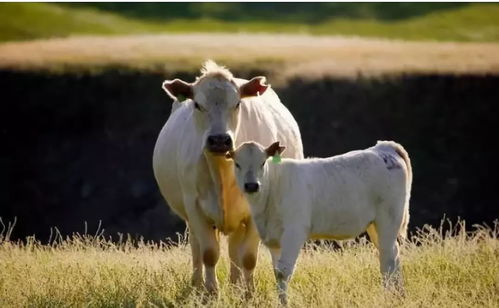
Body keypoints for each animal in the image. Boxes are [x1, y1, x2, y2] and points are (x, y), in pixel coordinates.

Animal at [152, 60, 302, 294]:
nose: (219, 140)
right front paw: (211, 292)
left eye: (237, 103)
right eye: (197, 104)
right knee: (198, 248)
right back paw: (197, 285)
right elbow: (209, 253)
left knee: (238, 252)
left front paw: (249, 294)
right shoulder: (194, 207)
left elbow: (248, 257)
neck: (223, 171)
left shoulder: (254, 213)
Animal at [229, 141, 412, 304]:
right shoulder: (274, 240)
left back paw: (389, 298)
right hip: (375, 226)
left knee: (388, 260)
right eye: (237, 164)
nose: (251, 185)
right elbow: (276, 272)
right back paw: (399, 296)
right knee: (393, 255)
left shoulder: (294, 233)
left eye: (263, 162)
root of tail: (383, 148)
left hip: (388, 219)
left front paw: (284, 303)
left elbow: (283, 272)